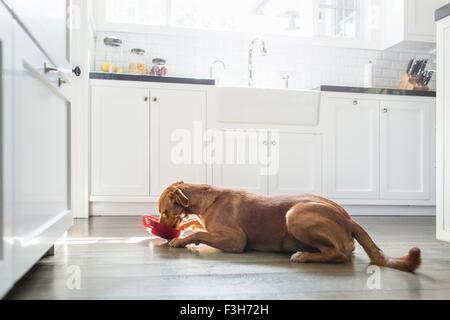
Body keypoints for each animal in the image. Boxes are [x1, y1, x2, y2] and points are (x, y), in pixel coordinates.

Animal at [159, 181, 422, 272]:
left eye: (163, 211)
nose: (160, 228)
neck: (206, 198)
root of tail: (348, 218)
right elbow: (196, 225)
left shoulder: (236, 240)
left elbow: (200, 232)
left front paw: (180, 239)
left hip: (294, 214)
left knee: (338, 255)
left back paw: (303, 256)